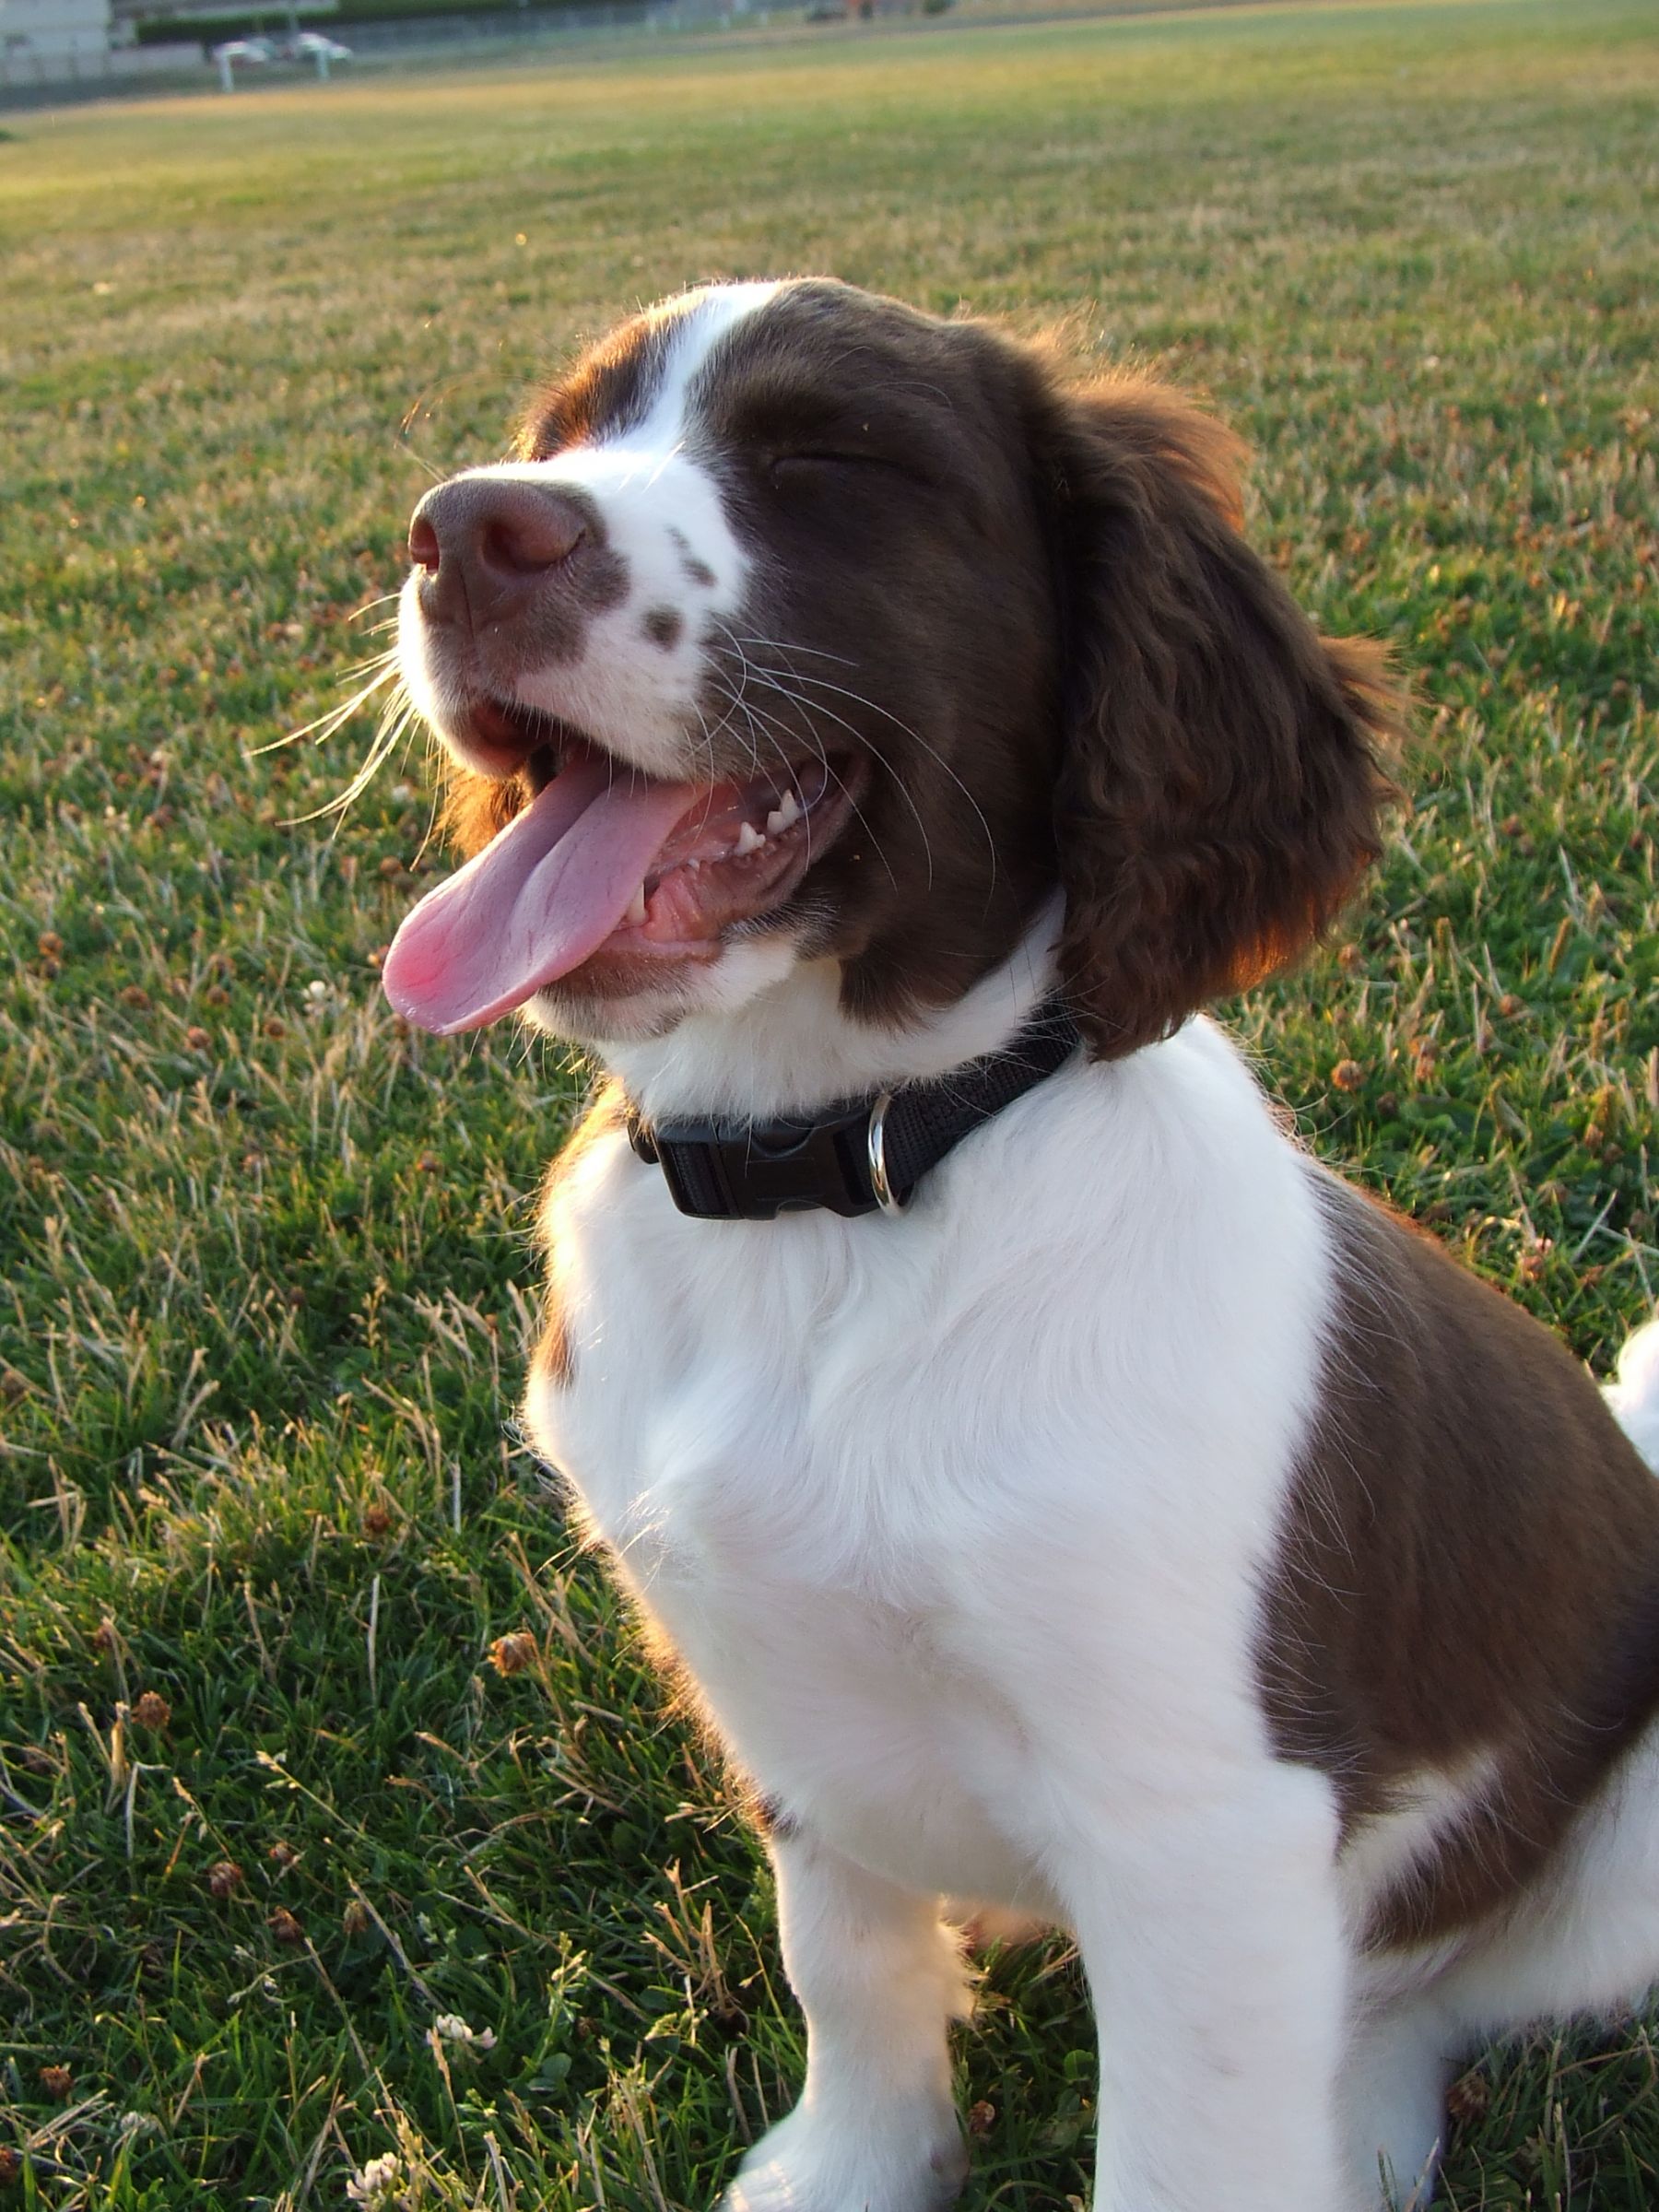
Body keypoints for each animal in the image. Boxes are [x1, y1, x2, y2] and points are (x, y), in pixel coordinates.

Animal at [382, 276, 1659, 2212]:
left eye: (832, 459)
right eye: (567, 433)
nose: (464, 531)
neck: (838, 1189)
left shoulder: (1204, 1825)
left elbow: (1191, 2144)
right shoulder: (781, 1702)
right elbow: (845, 1959)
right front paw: (854, 2169)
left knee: (1438, 1988)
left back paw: (1357, 2126)